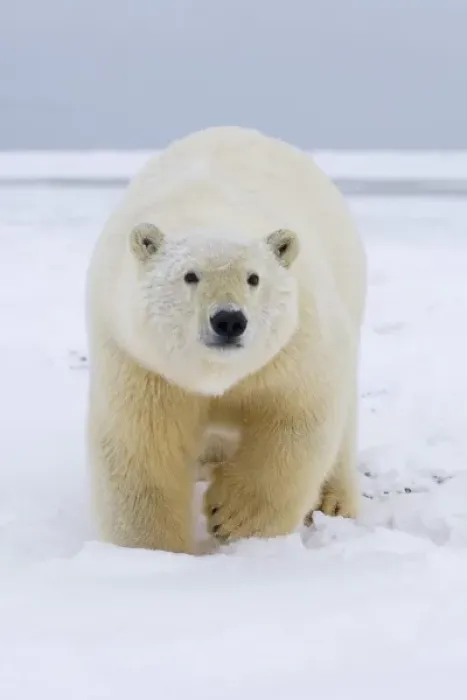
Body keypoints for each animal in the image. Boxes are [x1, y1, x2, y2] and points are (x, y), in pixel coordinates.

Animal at [85, 125, 367, 554]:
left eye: (253, 278)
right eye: (190, 276)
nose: (229, 320)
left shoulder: (296, 346)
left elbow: (296, 419)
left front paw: (232, 517)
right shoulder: (139, 362)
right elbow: (141, 448)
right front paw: (153, 552)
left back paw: (335, 502)